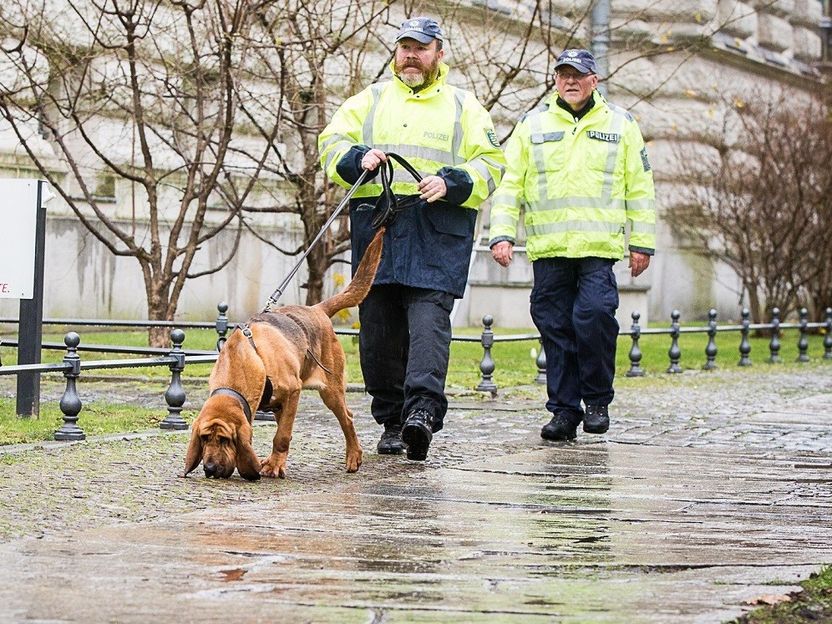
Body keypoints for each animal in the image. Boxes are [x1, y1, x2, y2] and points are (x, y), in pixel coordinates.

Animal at [182, 229, 384, 482]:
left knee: (347, 418)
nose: (209, 469)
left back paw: (353, 456)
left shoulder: (293, 393)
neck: (245, 361)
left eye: (225, 440)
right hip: (284, 405)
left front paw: (275, 466)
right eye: (204, 438)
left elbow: (282, 437)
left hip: (331, 391)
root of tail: (316, 309)